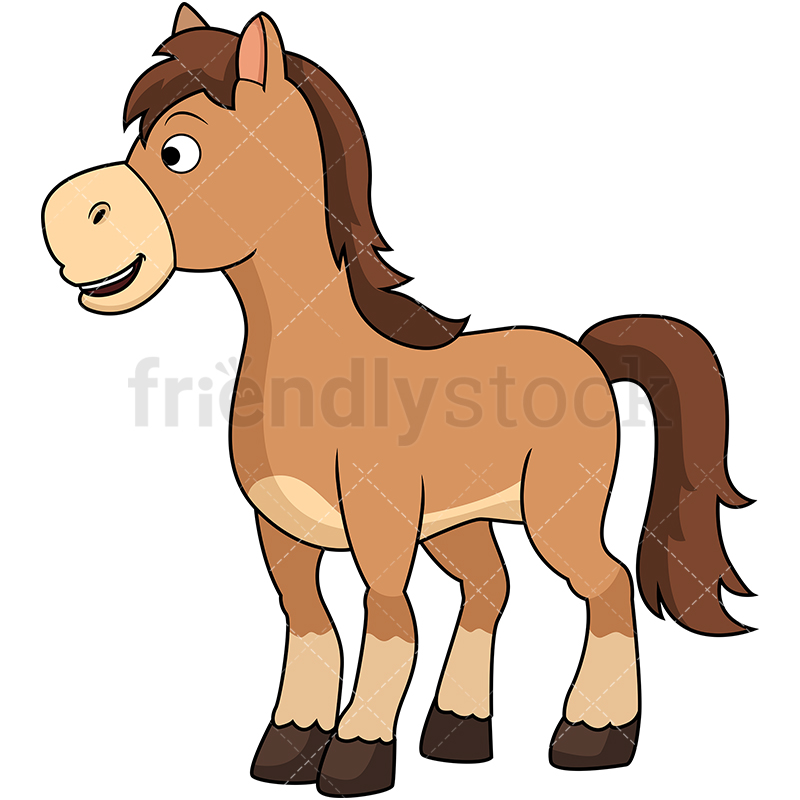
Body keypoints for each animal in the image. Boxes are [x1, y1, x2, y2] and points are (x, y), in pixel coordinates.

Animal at [42, 5, 754, 796]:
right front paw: (289, 746)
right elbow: (308, 622)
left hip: (554, 515)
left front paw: (357, 753)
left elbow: (387, 619)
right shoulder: (281, 530)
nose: (62, 217)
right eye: (137, 142)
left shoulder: (379, 525)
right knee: (489, 589)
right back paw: (457, 733)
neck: (318, 365)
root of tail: (589, 355)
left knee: (606, 585)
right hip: (459, 521)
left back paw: (592, 737)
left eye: (177, 151)